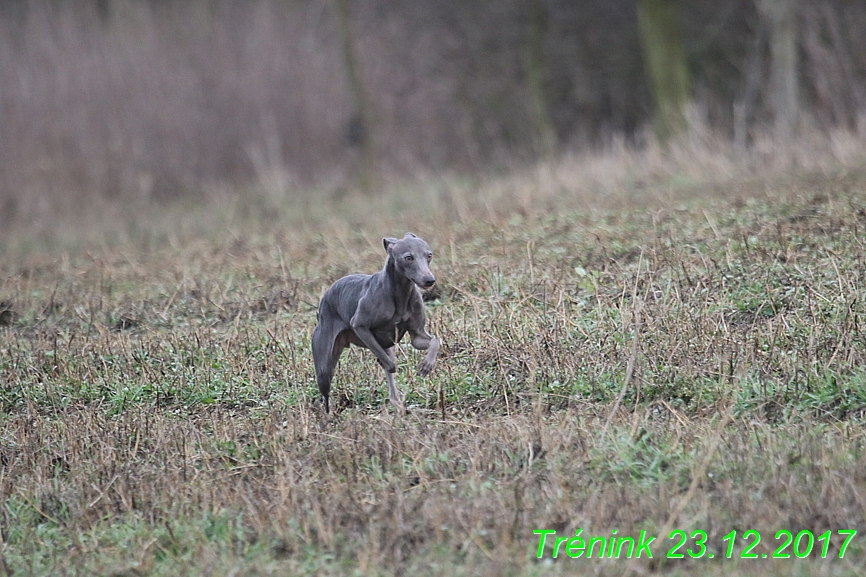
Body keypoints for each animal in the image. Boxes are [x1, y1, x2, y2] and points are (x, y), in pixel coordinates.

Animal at [310, 232, 438, 412]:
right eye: (408, 258)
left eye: (429, 255)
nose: (429, 280)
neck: (400, 293)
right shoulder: (360, 326)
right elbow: (388, 363)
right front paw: (391, 365)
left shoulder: (417, 336)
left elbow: (435, 341)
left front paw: (425, 366)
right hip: (324, 363)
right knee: (325, 393)